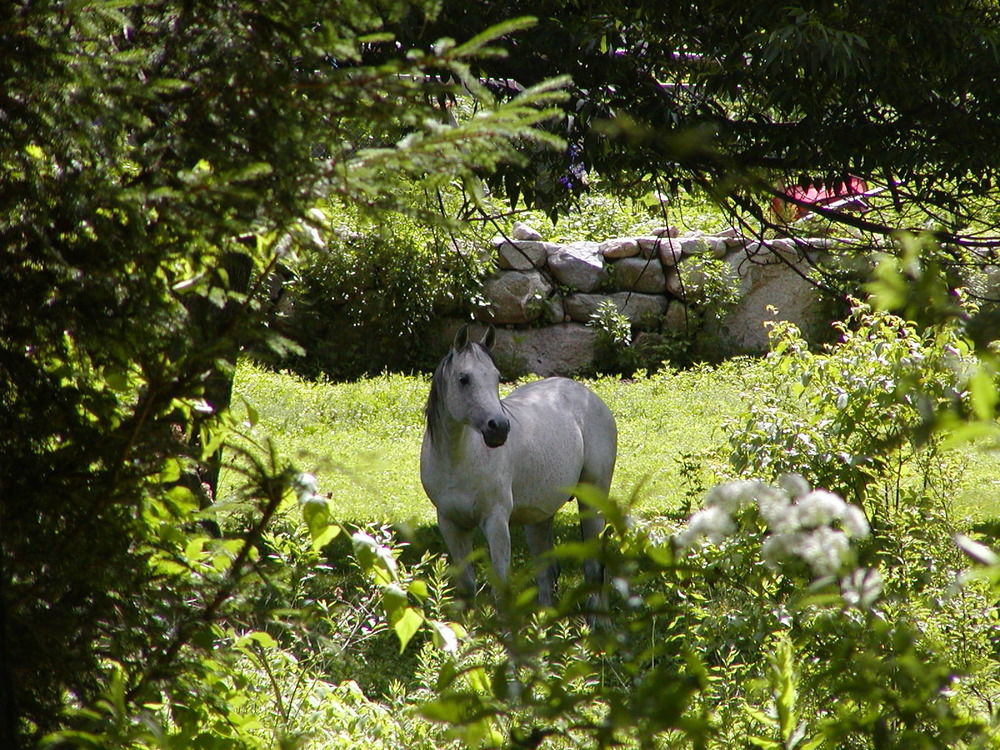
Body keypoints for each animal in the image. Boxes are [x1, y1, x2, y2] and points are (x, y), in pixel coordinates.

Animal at [416, 326, 616, 612]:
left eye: (496, 377)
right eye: (464, 379)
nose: (498, 428)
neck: (458, 461)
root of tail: (588, 396)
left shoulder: (496, 521)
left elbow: (502, 587)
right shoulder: (450, 524)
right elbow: (467, 587)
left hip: (592, 501)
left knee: (594, 570)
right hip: (539, 518)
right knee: (546, 572)